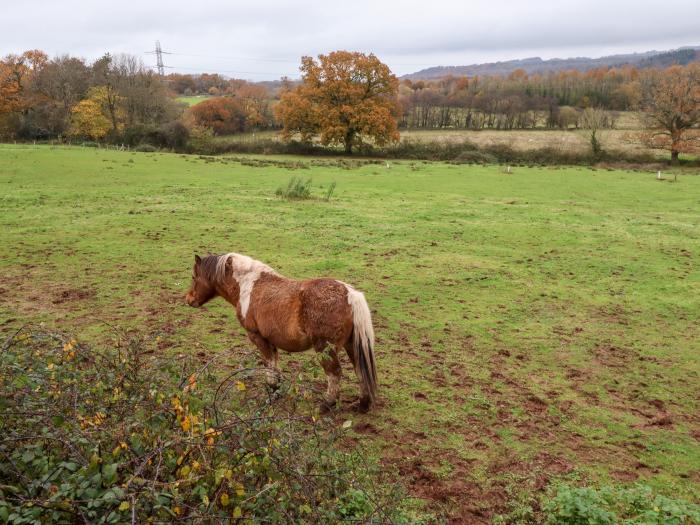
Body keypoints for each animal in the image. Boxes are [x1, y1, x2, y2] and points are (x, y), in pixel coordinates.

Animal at [182, 253, 378, 410]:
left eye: (193, 276)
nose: (189, 299)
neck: (248, 285)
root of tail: (349, 294)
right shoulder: (271, 340)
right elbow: (274, 364)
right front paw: (276, 390)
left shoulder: (257, 337)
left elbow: (268, 363)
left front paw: (271, 390)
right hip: (351, 345)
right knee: (359, 369)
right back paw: (363, 404)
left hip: (325, 348)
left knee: (334, 373)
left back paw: (327, 404)